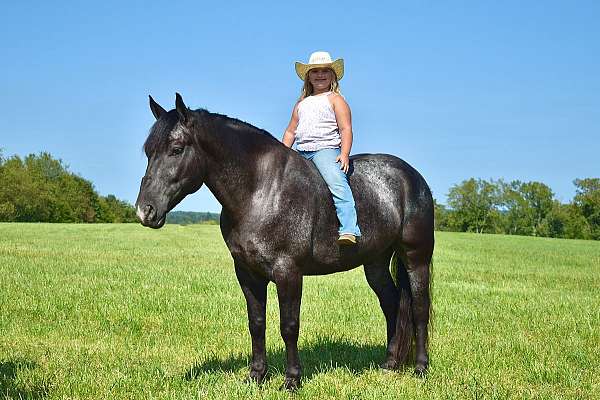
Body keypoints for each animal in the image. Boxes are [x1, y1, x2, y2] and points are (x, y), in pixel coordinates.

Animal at [137, 94, 432, 390]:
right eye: (148, 151)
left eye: (176, 149)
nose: (144, 211)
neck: (260, 191)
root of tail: (412, 177)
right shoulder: (247, 273)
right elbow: (256, 323)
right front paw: (256, 375)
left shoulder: (288, 272)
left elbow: (289, 326)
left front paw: (291, 380)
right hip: (375, 262)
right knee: (392, 304)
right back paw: (390, 364)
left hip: (416, 258)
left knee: (419, 309)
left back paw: (420, 368)